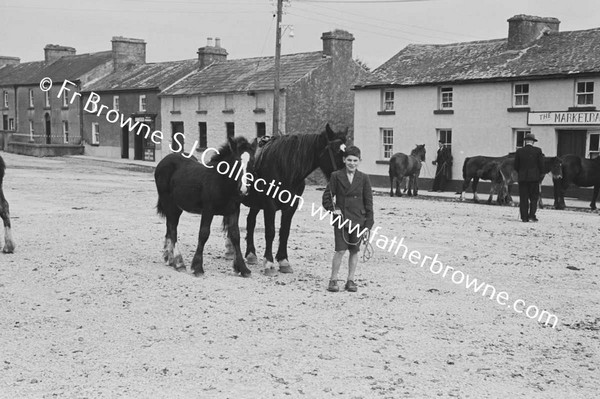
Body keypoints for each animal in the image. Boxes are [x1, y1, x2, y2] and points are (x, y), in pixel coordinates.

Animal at [154, 138, 254, 278]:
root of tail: (163, 161)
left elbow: (235, 235)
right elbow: (204, 233)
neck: (221, 182)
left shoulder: (233, 211)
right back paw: (179, 263)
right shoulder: (208, 210)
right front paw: (197, 267)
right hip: (169, 203)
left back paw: (169, 258)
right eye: (236, 163)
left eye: (252, 162)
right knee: (172, 228)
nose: (244, 189)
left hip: (177, 206)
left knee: (170, 227)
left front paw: (243, 268)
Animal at [241, 124, 350, 276]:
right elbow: (270, 232)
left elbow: (285, 231)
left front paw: (283, 261)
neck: (285, 167)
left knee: (250, 221)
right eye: (336, 150)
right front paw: (269, 263)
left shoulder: (291, 205)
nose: (347, 176)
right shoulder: (269, 205)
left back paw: (250, 254)